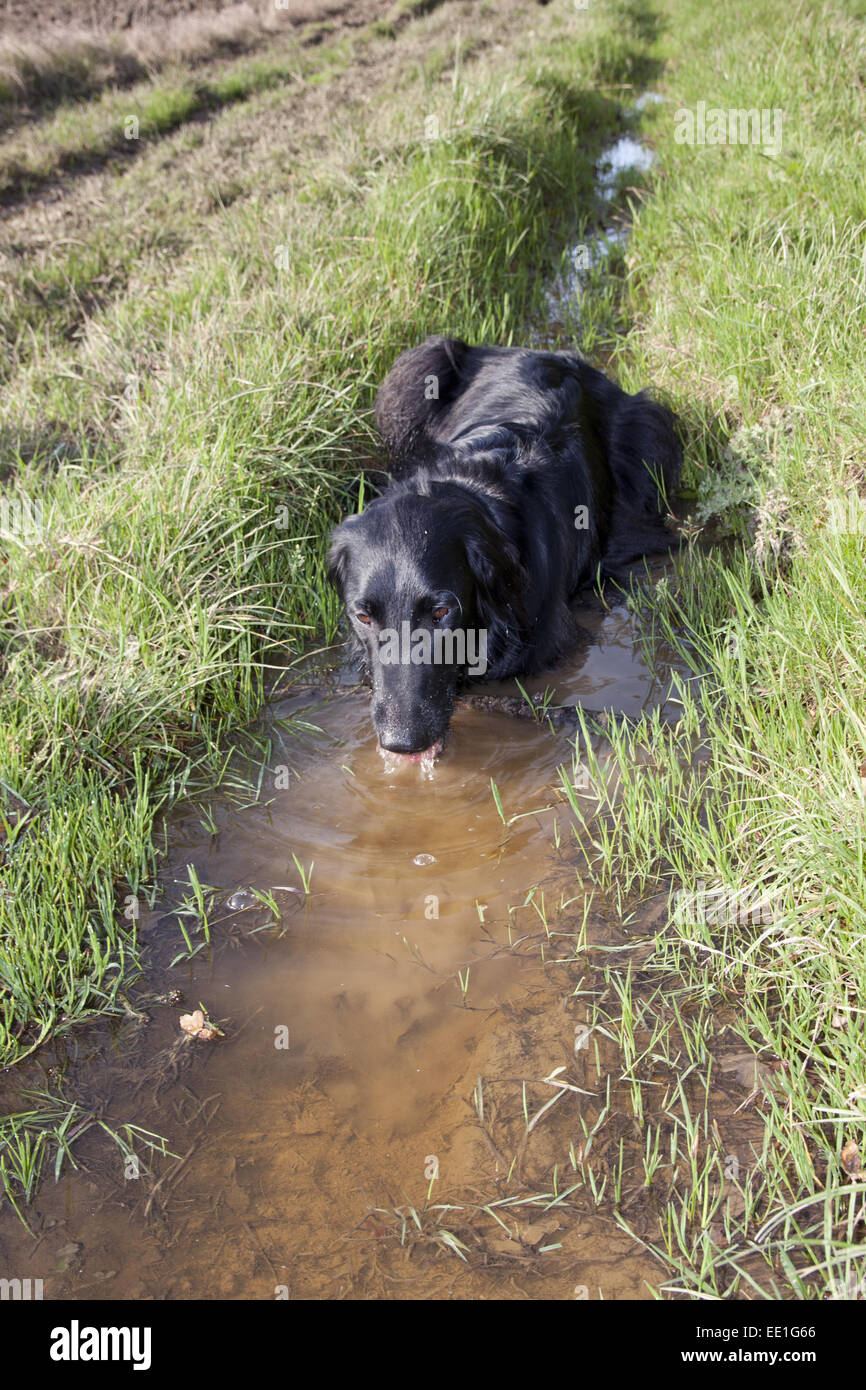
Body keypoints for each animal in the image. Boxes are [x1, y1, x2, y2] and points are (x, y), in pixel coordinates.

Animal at [328, 336, 681, 761]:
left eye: (442, 612)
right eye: (363, 617)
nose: (402, 742)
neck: (475, 490)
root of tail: (546, 353)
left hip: (648, 433)